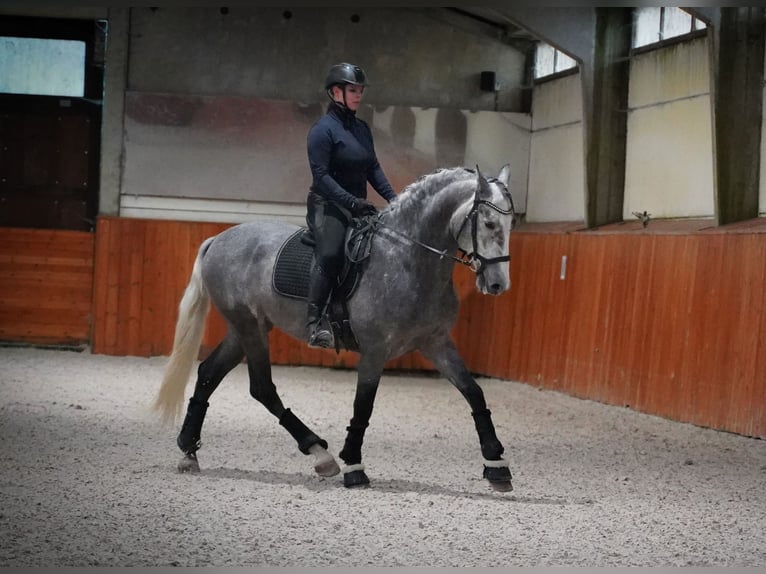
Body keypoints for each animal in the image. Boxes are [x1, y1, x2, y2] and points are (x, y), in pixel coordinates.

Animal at [153, 164, 520, 492]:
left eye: (511, 223)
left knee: (209, 373)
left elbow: (473, 392)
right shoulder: (375, 349)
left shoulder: (436, 342)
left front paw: (497, 465)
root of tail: (219, 238)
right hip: (248, 326)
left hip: (247, 327)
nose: (498, 284)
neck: (407, 258)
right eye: (489, 222)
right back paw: (320, 453)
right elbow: (363, 405)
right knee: (262, 387)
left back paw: (189, 450)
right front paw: (354, 466)